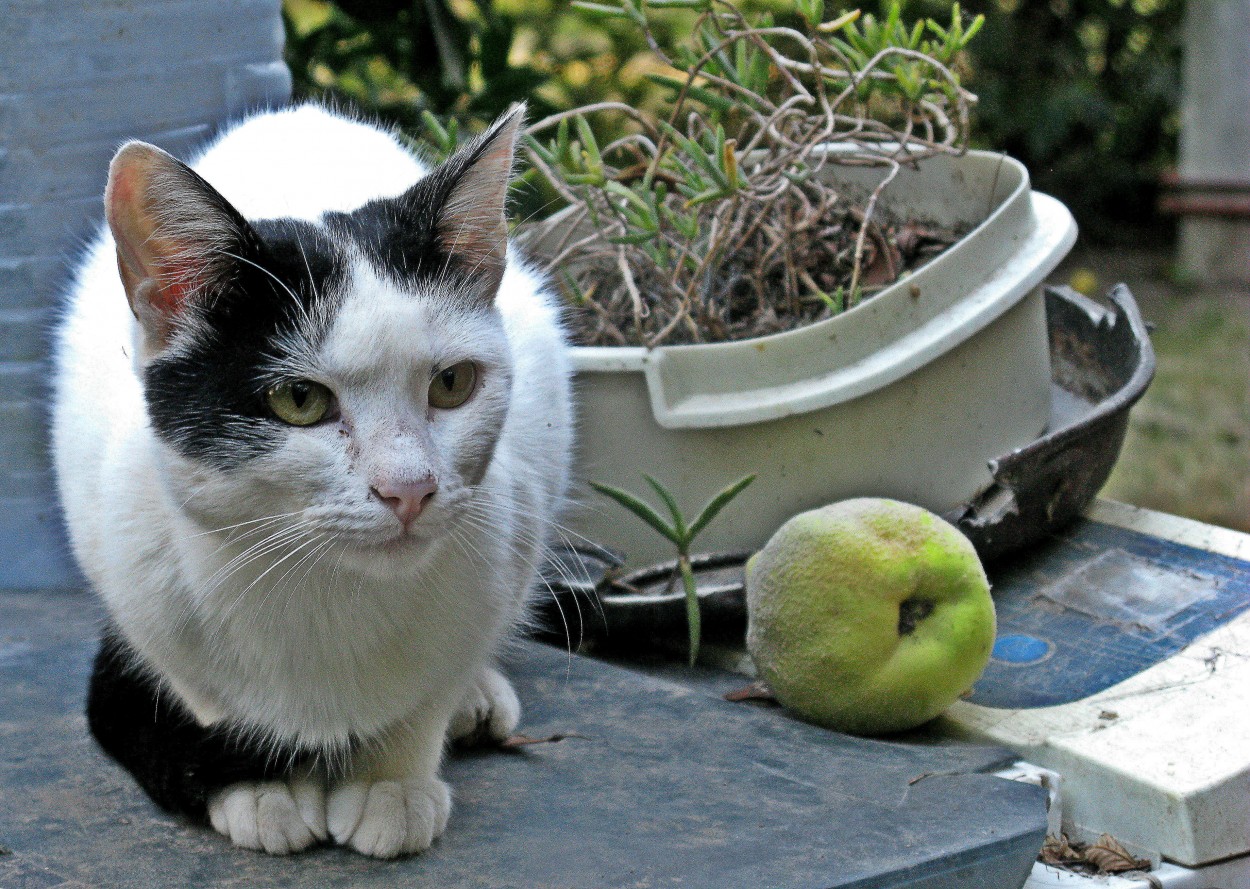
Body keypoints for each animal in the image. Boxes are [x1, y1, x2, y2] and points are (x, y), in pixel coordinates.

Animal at [51, 102, 572, 855]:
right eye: (299, 400)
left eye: (452, 384)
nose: (409, 488)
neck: (324, 589)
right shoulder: (128, 575)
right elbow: (205, 704)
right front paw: (260, 784)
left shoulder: (509, 537)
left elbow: (428, 692)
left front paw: (392, 780)